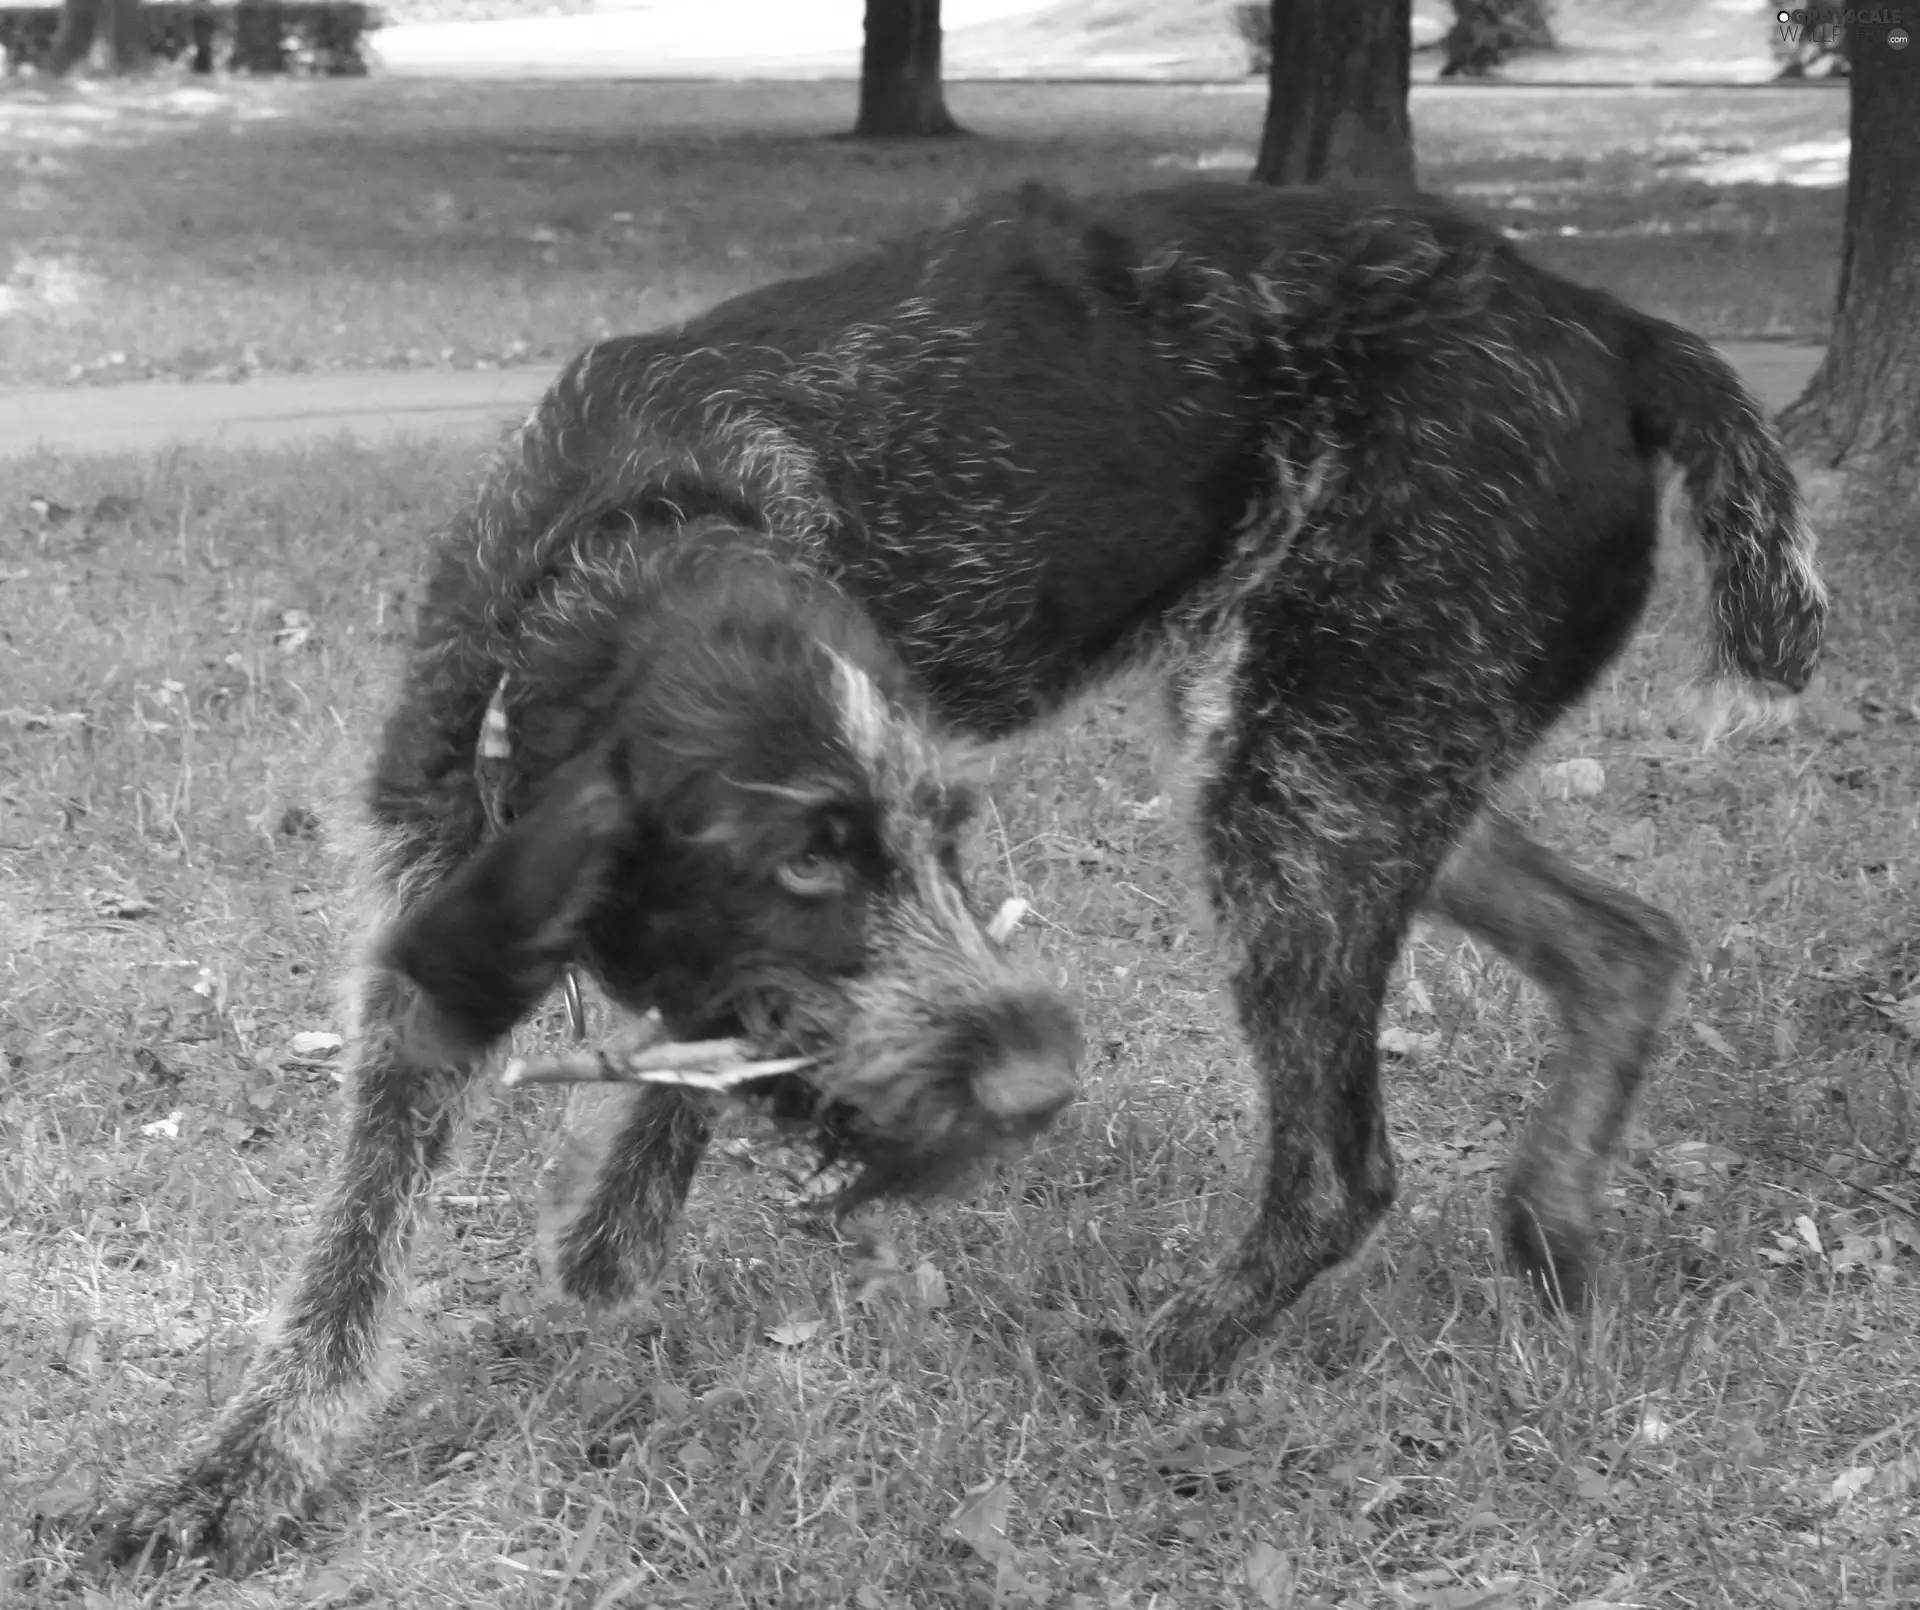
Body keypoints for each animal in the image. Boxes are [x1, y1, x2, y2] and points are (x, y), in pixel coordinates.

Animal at [90, 179, 1827, 1573]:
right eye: (804, 858)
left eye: (951, 838)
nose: (1037, 1085)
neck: (619, 539)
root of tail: (1604, 320)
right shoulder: (427, 917)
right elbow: (351, 1252)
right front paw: (239, 1473)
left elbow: (672, 1086)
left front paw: (611, 1226)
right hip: (1343, 745)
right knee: (1628, 942)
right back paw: (1550, 1231)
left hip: (1312, 776)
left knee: (1345, 1171)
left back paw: (1166, 1359)